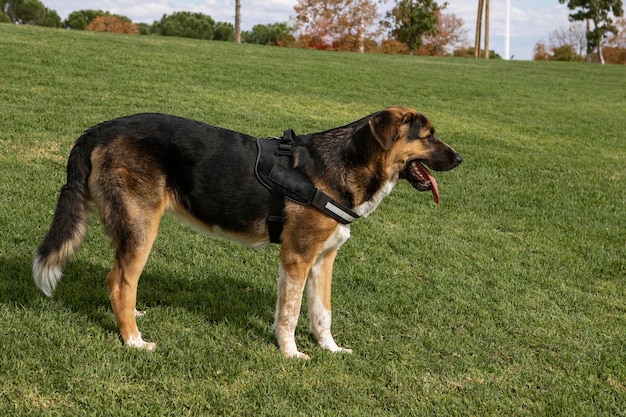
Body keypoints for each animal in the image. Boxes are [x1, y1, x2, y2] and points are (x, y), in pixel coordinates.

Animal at [34, 105, 460, 356]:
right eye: (428, 136)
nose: (460, 158)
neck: (345, 164)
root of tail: (98, 130)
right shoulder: (297, 258)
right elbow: (290, 315)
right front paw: (291, 355)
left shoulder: (323, 260)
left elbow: (320, 313)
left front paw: (330, 350)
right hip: (141, 228)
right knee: (119, 280)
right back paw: (135, 341)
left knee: (125, 282)